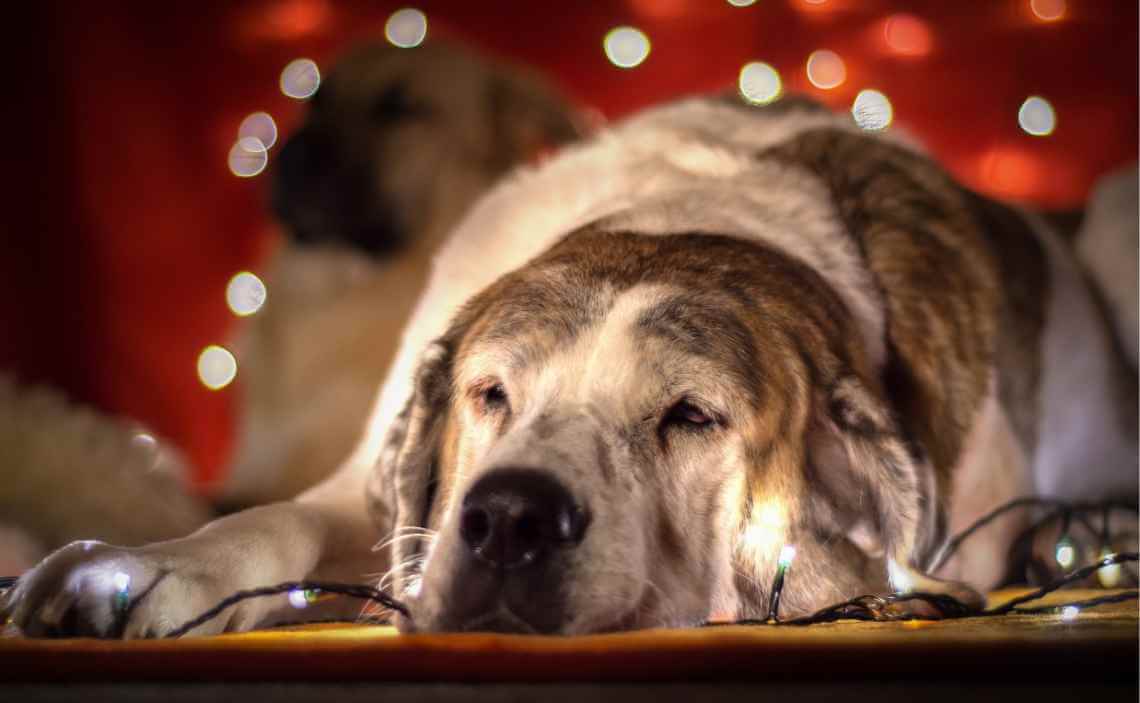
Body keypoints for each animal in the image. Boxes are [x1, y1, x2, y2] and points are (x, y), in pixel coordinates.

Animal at [4, 93, 1135, 638]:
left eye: (691, 417)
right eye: (490, 394)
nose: (510, 516)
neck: (680, 218)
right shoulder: (380, 485)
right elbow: (277, 519)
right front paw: (141, 569)